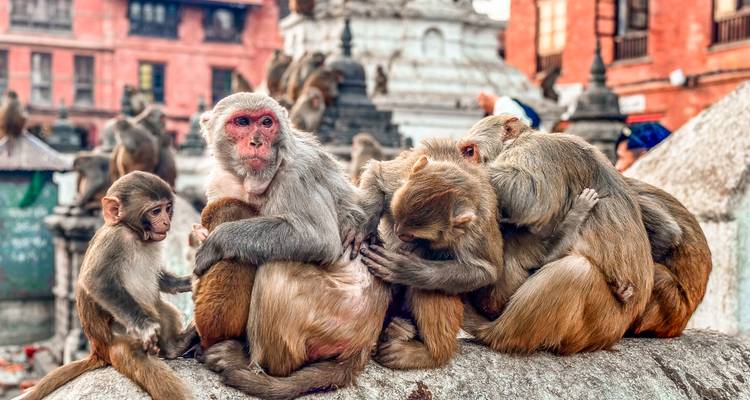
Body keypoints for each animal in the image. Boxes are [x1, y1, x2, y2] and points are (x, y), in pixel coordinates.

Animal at [24, 171, 195, 400]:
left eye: (168, 208)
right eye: (155, 211)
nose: (166, 222)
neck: (134, 234)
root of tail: (99, 350)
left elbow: (160, 280)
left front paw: (188, 281)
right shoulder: (115, 240)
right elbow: (95, 280)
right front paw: (145, 326)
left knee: (162, 307)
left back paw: (174, 347)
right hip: (121, 342)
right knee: (151, 370)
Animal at [444, 114, 654, 354]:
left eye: (469, 152)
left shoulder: (536, 152)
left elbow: (530, 196)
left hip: (601, 321)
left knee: (575, 271)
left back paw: (499, 335)